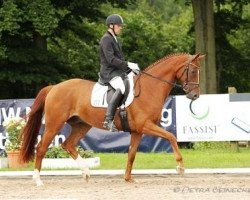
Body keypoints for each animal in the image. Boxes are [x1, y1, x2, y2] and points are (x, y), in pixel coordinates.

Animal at [19, 52, 203, 186]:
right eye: (193, 71)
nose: (195, 96)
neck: (150, 89)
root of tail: (54, 87)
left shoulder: (137, 131)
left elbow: (132, 154)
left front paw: (128, 178)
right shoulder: (145, 126)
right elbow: (171, 137)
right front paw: (180, 167)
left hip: (81, 125)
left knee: (68, 145)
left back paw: (86, 173)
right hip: (54, 124)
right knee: (41, 148)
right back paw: (38, 180)